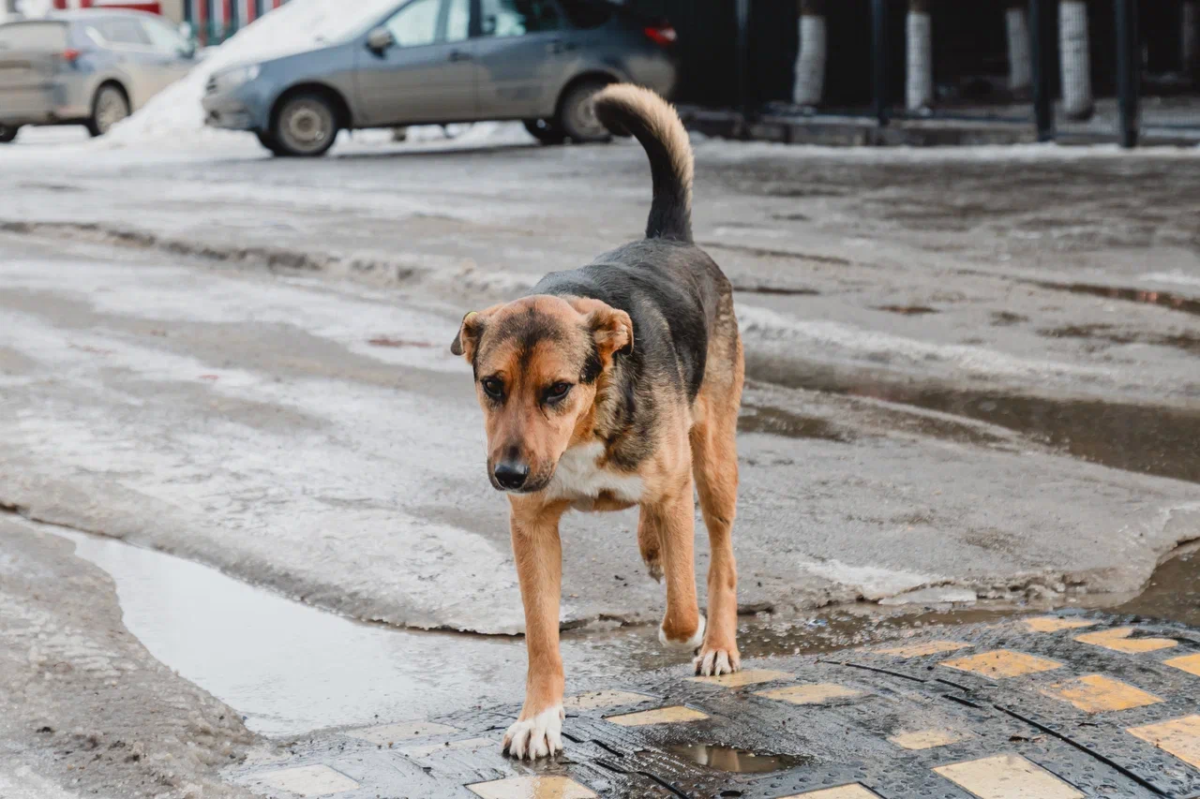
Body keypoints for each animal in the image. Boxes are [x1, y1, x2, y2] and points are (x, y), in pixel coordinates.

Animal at [451, 82, 739, 758]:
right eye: (491, 385)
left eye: (557, 389)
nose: (507, 475)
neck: (582, 431)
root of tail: (670, 239)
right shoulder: (531, 527)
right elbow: (541, 637)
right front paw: (539, 717)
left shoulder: (673, 485)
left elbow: (681, 608)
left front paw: (688, 631)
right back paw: (652, 546)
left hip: (714, 460)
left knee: (721, 556)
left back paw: (718, 642)